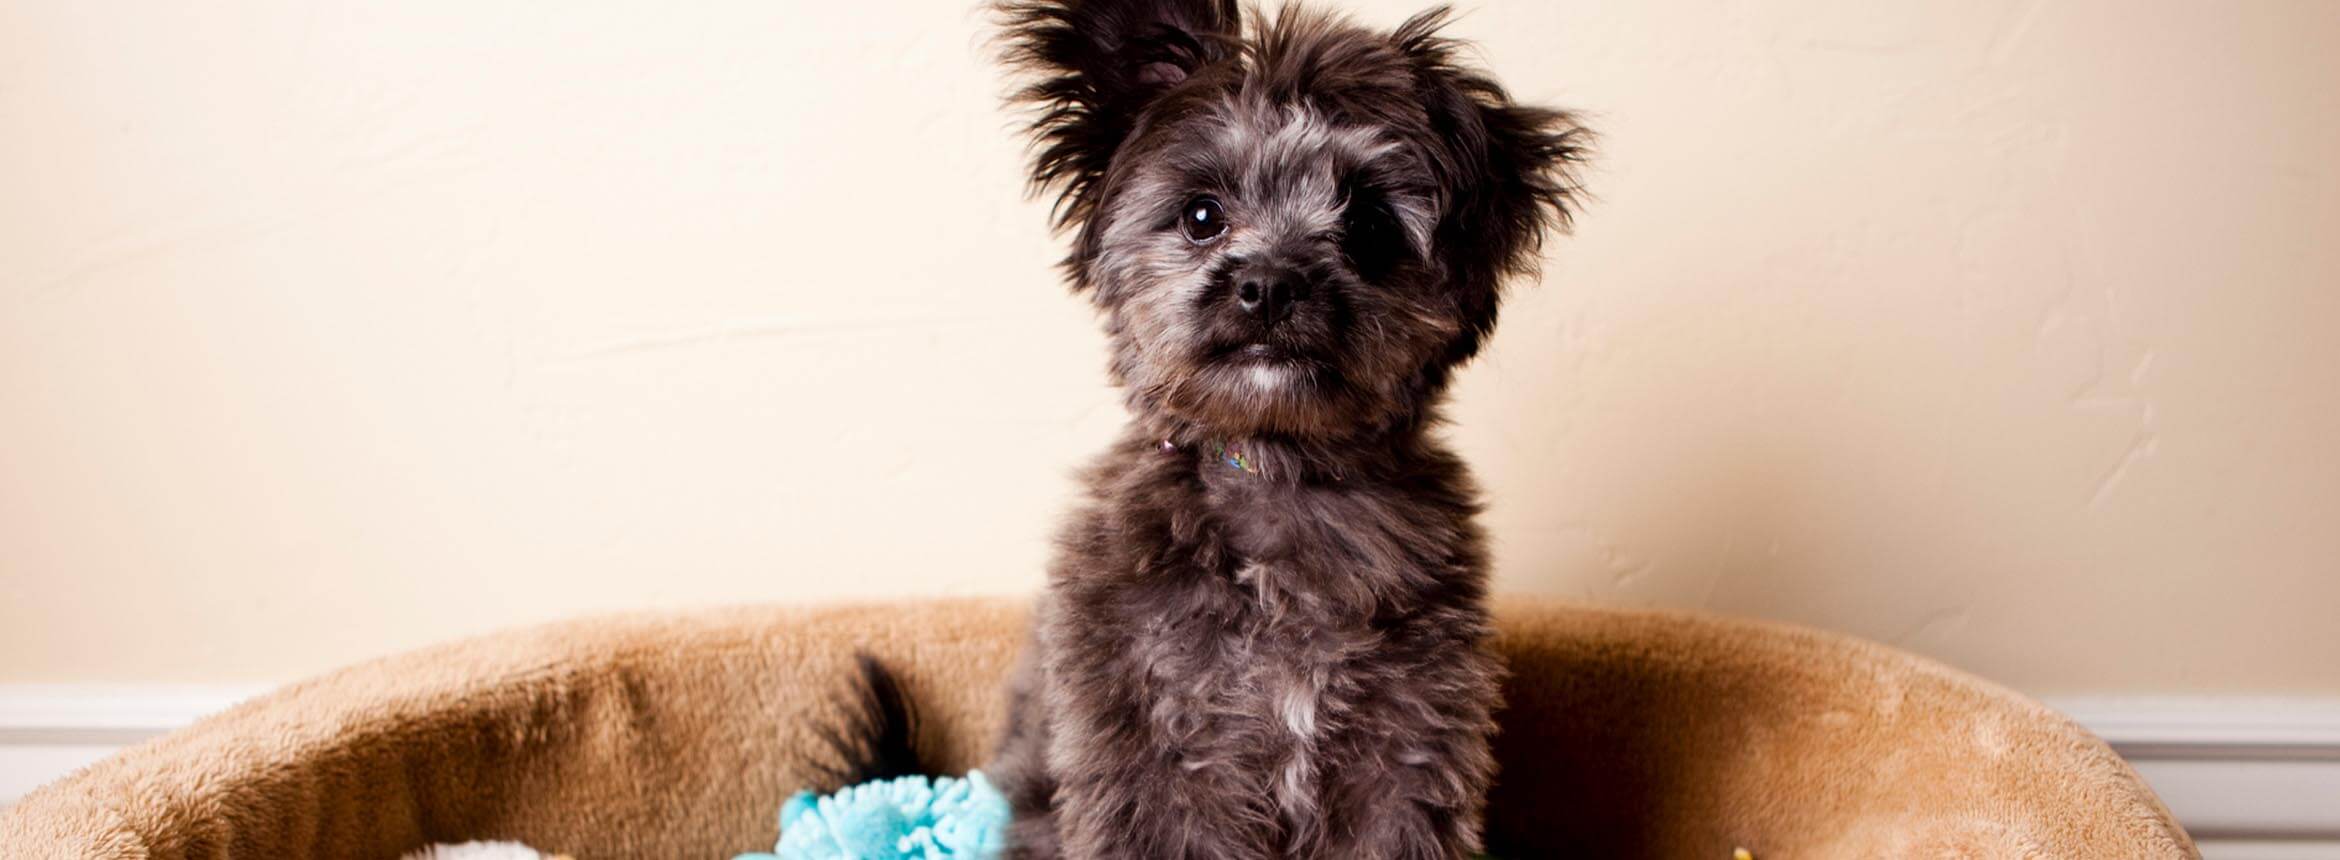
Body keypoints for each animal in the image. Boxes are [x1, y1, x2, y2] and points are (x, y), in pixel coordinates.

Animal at [833, 3, 1581, 855]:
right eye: (1201, 216)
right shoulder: (1155, 760)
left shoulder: (1405, 755)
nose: (1269, 284)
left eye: (1368, 225)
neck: (1276, 475)